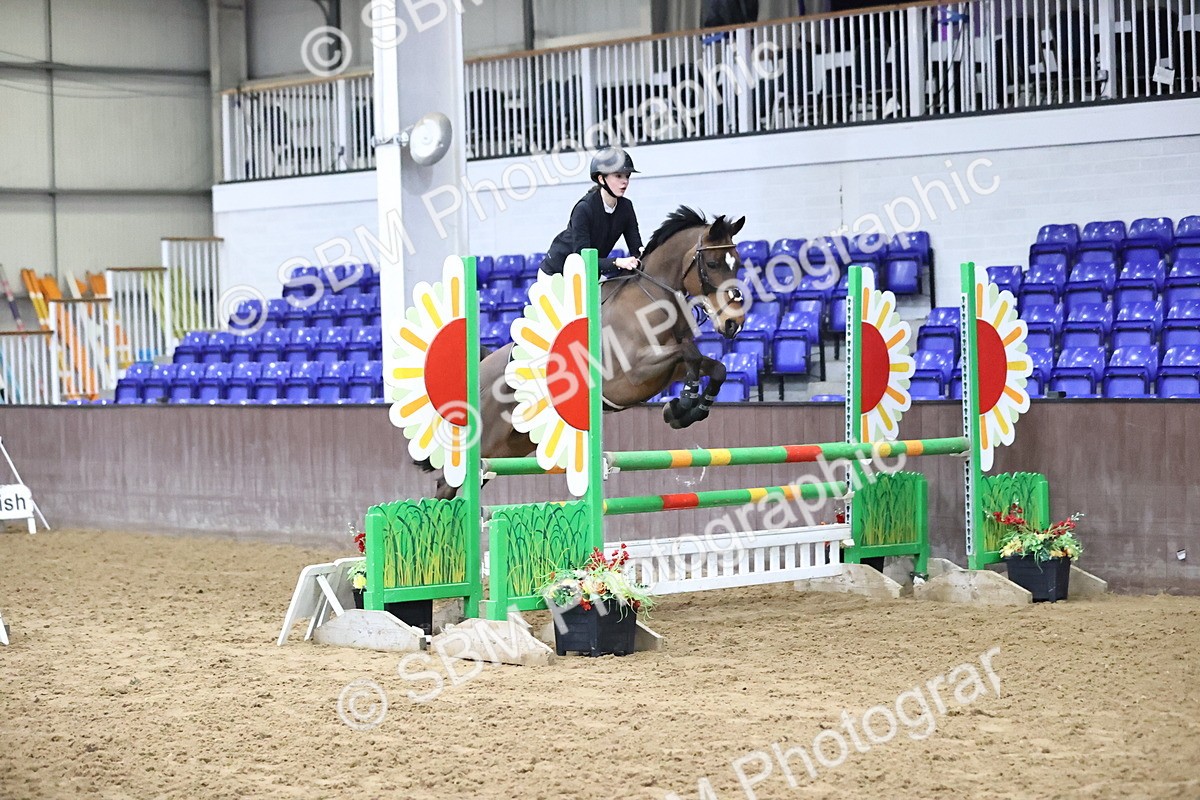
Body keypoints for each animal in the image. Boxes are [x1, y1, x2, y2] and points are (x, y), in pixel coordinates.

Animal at [429, 206, 749, 499]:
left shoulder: (668, 370)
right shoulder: (633, 374)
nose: (734, 323)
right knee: (446, 484)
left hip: (509, 447)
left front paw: (686, 410)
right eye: (712, 263)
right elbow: (690, 353)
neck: (651, 301)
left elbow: (713, 366)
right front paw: (683, 403)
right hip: (486, 443)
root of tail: (479, 371)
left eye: (737, 264)